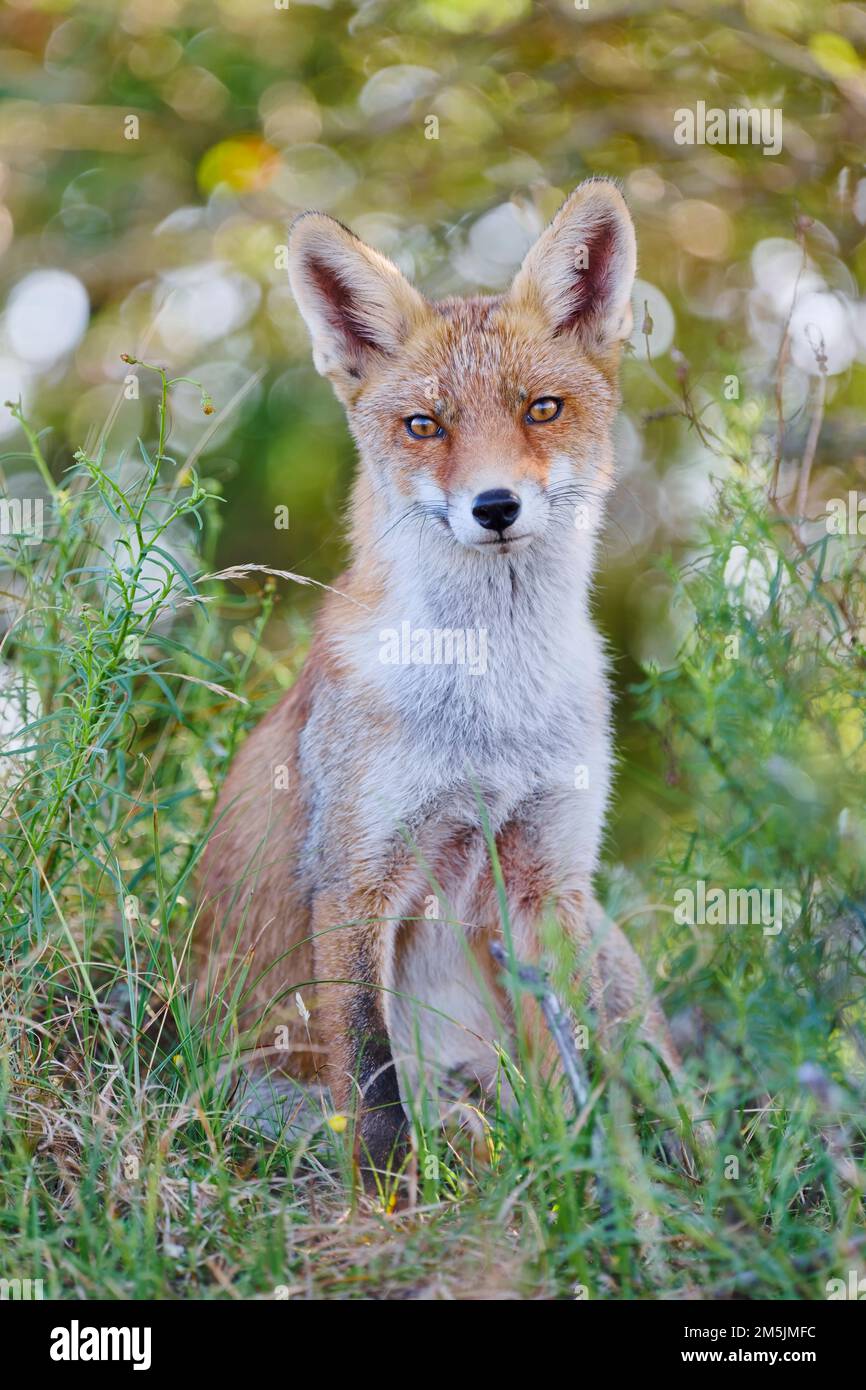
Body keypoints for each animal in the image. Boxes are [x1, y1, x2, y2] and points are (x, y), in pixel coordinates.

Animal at [195, 178, 686, 1192]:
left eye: (541, 409)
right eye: (426, 425)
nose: (494, 507)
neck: (493, 711)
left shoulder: (546, 882)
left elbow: (591, 1076)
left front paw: (618, 1190)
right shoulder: (355, 881)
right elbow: (374, 1090)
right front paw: (387, 1203)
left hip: (602, 935)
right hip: (250, 1090)